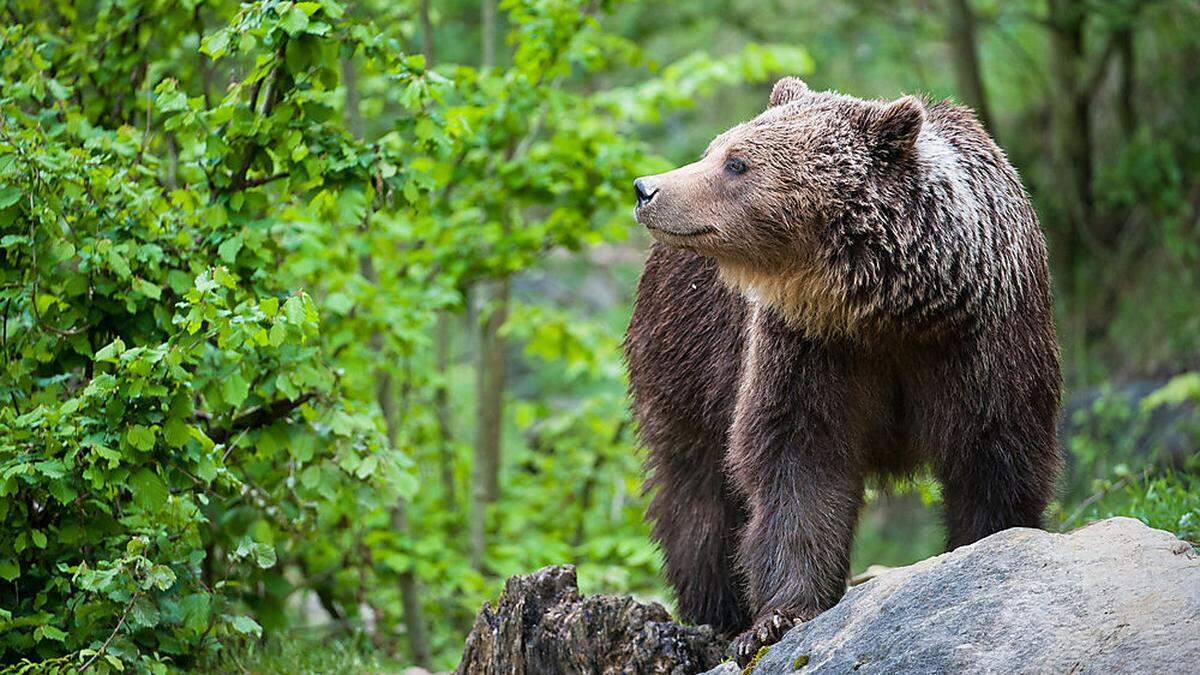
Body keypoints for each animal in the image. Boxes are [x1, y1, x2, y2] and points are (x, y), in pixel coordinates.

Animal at [624, 76, 1065, 658]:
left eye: (736, 162)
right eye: (715, 150)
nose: (646, 188)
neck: (892, 310)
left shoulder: (985, 342)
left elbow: (994, 453)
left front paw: (988, 545)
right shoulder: (807, 347)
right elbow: (799, 461)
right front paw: (777, 618)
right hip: (685, 360)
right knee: (697, 494)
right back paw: (717, 611)